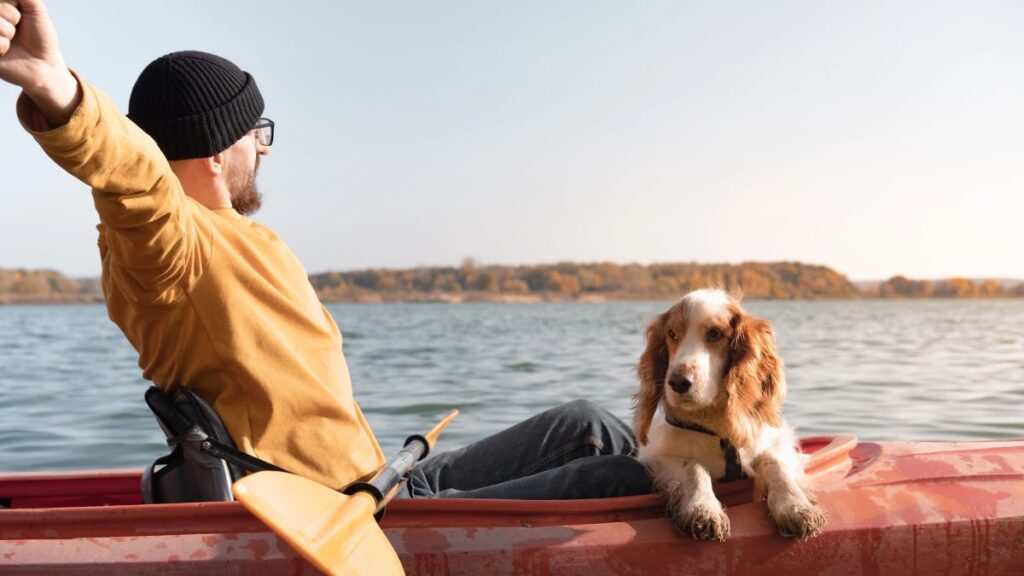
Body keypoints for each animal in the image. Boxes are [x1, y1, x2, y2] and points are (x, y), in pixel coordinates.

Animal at [630, 289, 823, 541]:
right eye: (672, 334)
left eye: (714, 333)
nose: (678, 382)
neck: (716, 428)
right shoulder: (657, 457)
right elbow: (693, 466)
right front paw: (703, 507)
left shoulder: (778, 442)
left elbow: (775, 464)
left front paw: (795, 506)